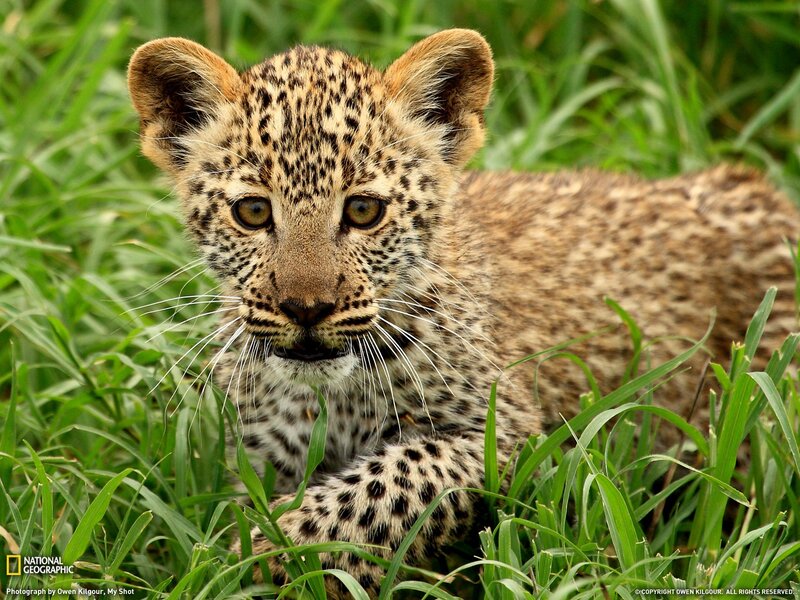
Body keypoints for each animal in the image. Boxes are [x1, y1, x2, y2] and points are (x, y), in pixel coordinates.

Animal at [127, 29, 798, 597]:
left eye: (364, 211)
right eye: (253, 213)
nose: (306, 308)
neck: (329, 398)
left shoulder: (518, 434)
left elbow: (384, 485)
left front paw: (256, 554)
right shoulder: (257, 457)